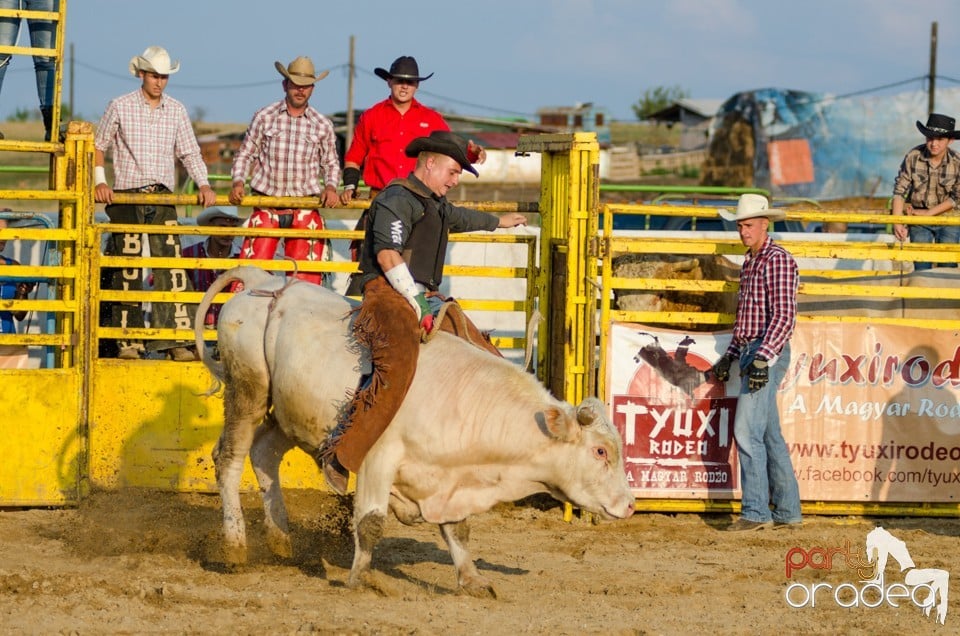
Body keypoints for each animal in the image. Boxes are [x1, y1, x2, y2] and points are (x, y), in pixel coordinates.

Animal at [191, 268, 632, 596]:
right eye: (600, 452)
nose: (629, 506)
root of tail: (261, 280)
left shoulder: (448, 479)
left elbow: (458, 529)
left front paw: (473, 579)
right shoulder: (378, 459)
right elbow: (370, 522)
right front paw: (362, 578)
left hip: (290, 413)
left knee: (265, 453)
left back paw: (281, 540)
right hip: (248, 390)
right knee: (229, 459)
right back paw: (235, 546)